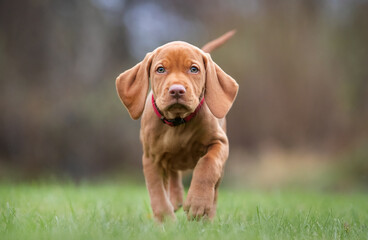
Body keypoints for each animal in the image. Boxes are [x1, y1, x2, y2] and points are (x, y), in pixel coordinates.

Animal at [116, 31, 240, 222]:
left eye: (194, 69)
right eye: (160, 69)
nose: (176, 90)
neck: (178, 123)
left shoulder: (219, 143)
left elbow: (207, 165)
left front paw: (198, 203)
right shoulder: (151, 158)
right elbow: (157, 192)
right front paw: (166, 221)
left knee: (215, 189)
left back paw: (208, 217)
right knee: (173, 173)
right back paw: (175, 199)